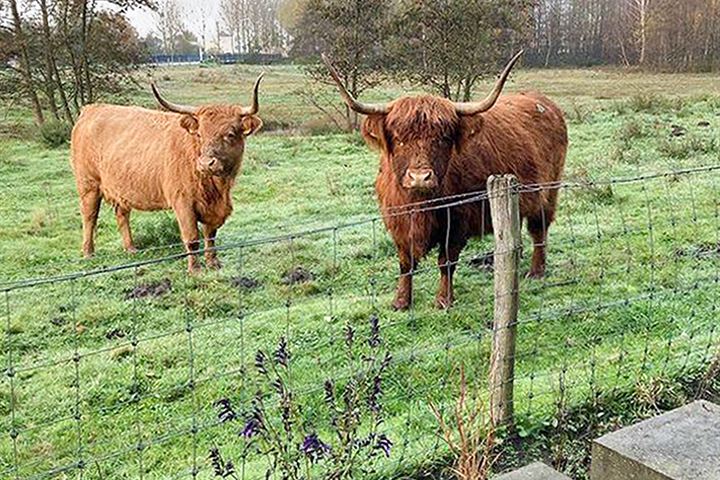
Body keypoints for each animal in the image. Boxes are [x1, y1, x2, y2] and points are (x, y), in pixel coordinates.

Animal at [71, 75, 264, 270]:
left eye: (230, 134)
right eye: (199, 134)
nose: (206, 163)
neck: (217, 188)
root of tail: (91, 109)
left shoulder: (214, 208)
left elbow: (210, 235)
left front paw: (213, 263)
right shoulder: (183, 201)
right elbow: (192, 238)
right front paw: (195, 269)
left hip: (121, 187)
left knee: (122, 215)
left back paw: (131, 248)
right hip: (88, 184)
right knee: (89, 216)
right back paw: (88, 252)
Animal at [324, 51, 564, 308]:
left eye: (443, 138)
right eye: (398, 139)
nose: (420, 177)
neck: (420, 205)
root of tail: (544, 101)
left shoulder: (458, 221)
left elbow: (446, 261)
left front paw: (443, 300)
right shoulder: (397, 222)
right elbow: (405, 263)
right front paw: (401, 301)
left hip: (548, 192)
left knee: (539, 229)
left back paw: (536, 271)